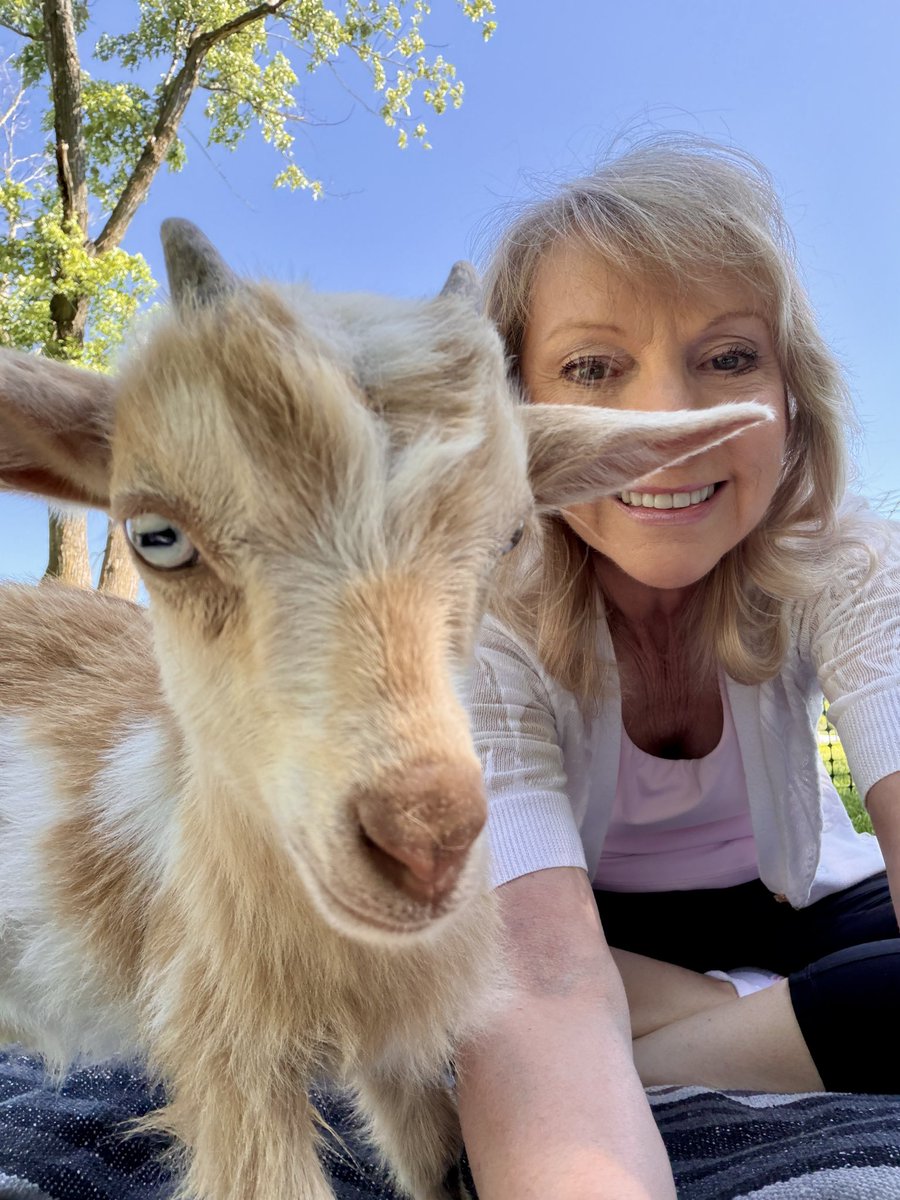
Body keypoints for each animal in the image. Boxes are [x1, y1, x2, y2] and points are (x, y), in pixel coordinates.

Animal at [0, 220, 768, 1199]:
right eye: (155, 536)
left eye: (512, 535)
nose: (425, 842)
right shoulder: (223, 1046)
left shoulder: (401, 1039)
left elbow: (435, 1160)